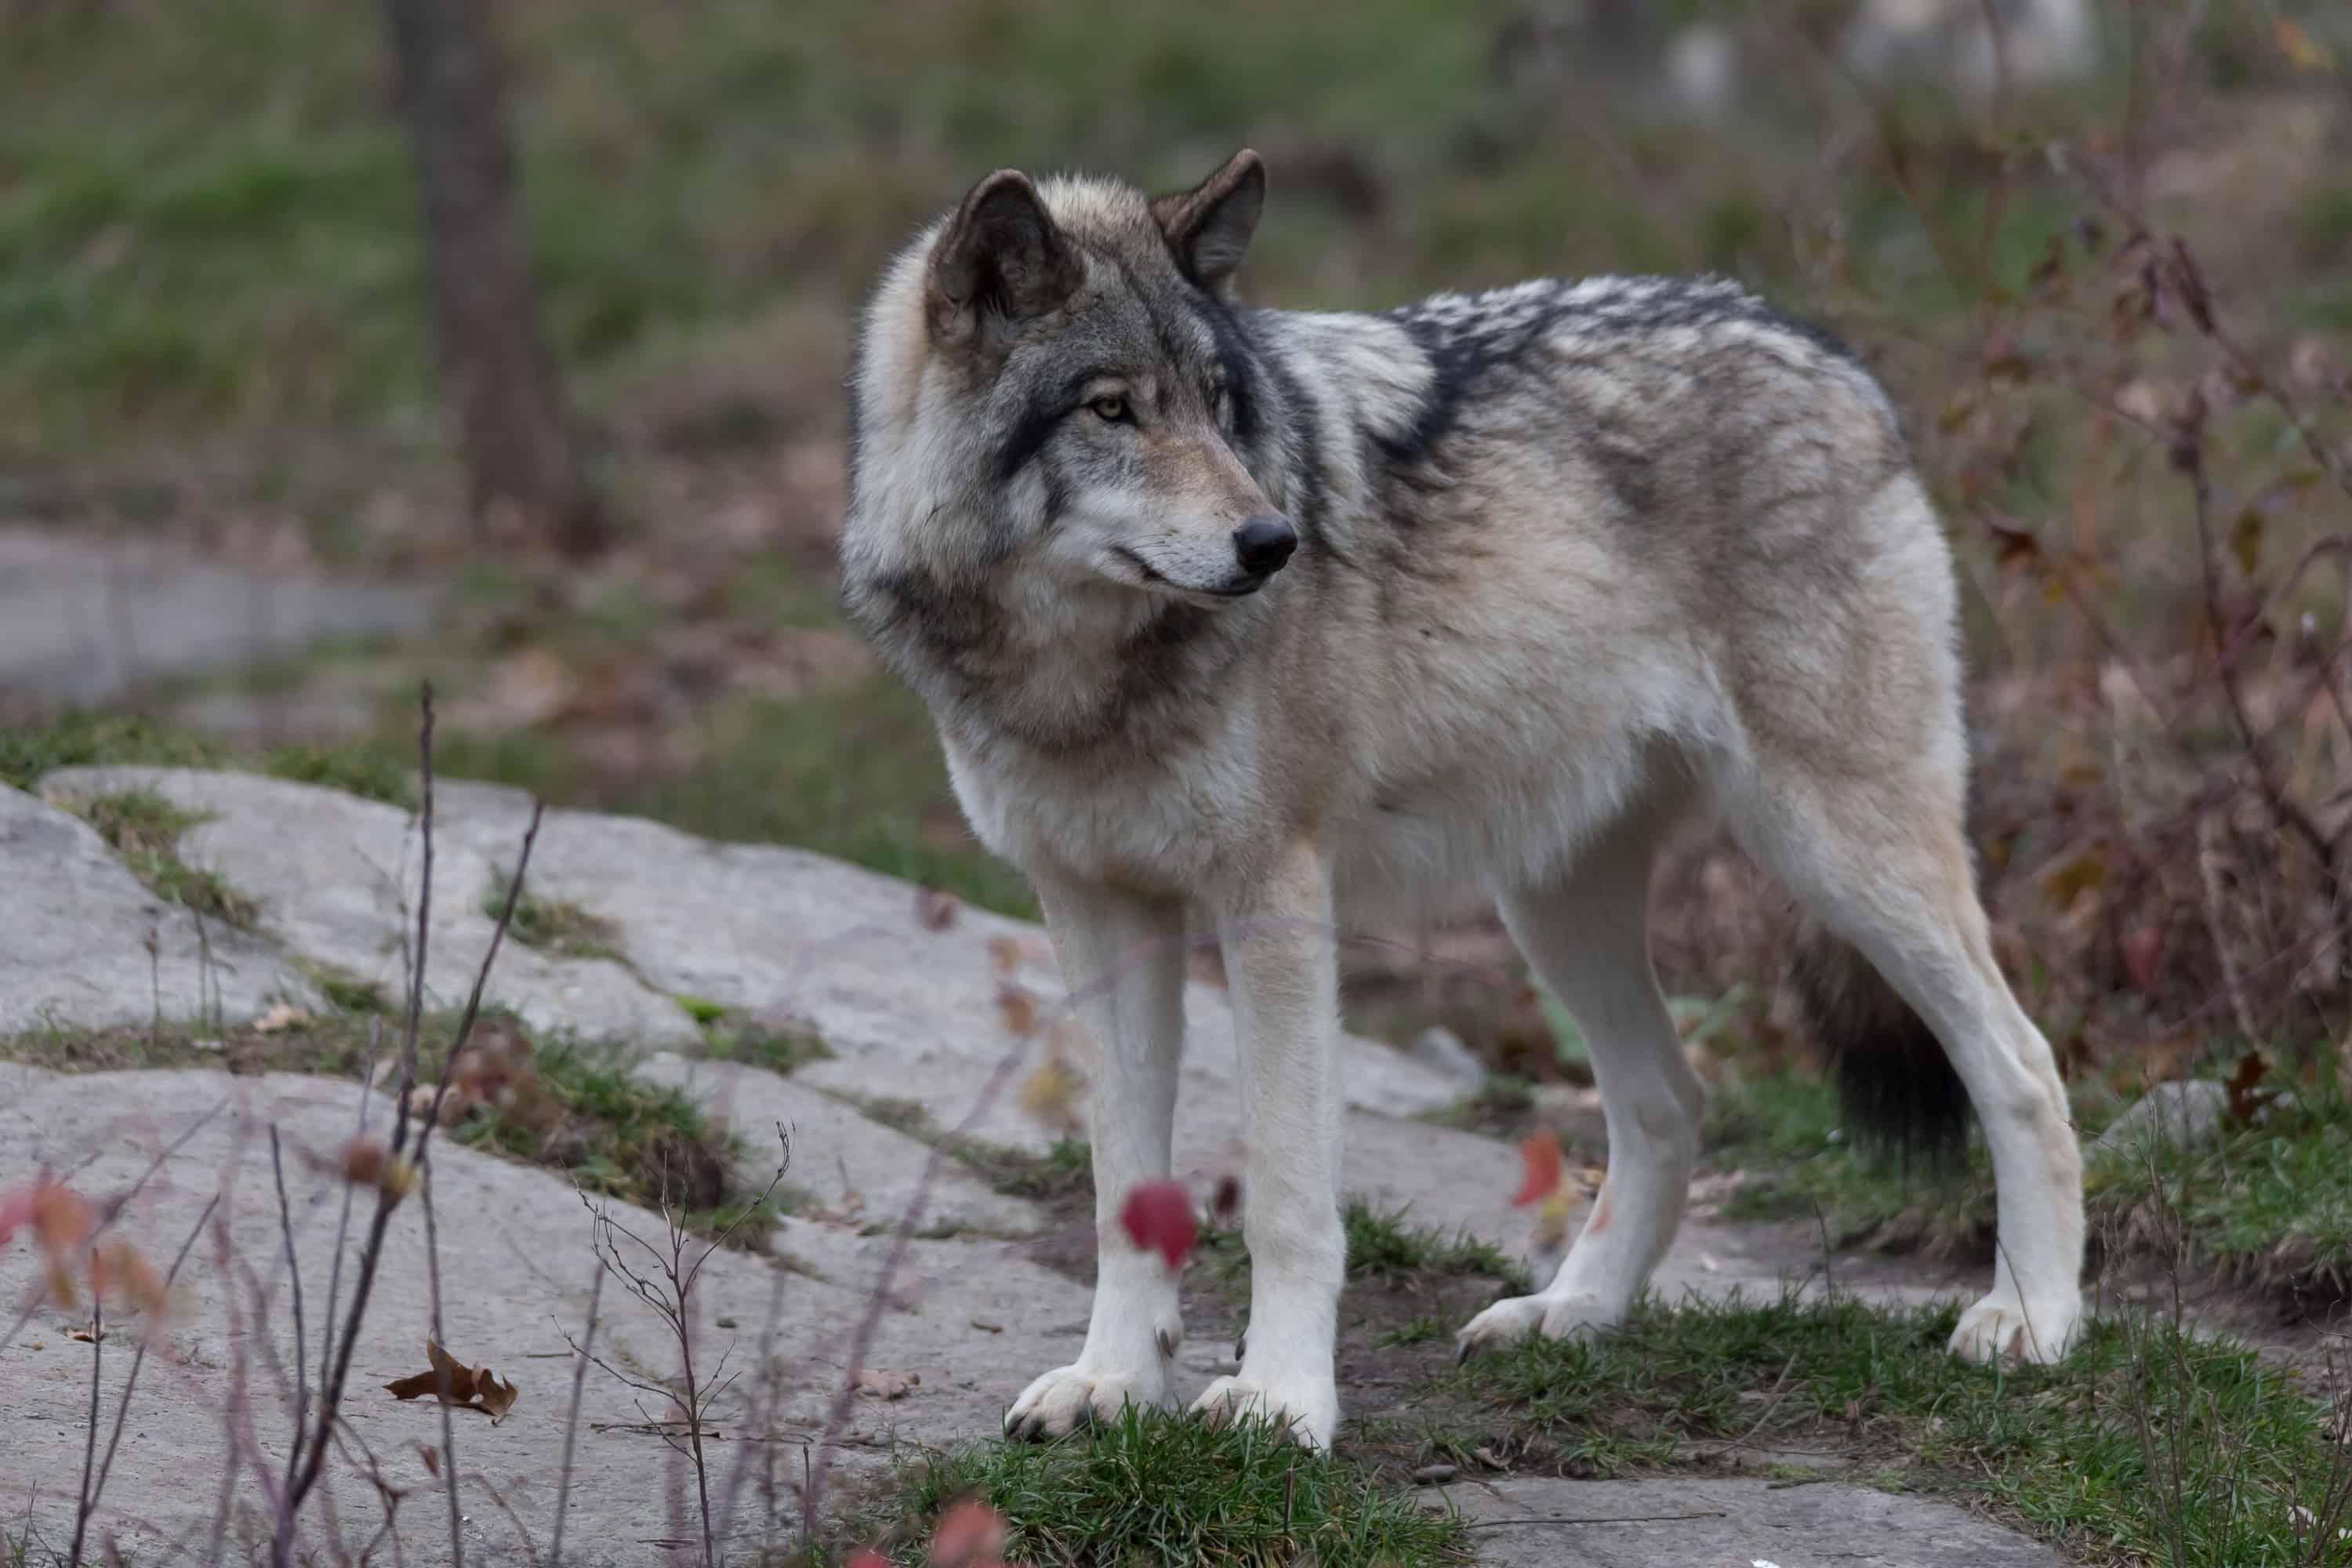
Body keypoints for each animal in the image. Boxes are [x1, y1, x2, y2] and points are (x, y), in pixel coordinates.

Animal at [837, 149, 2086, 1450]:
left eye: (1222, 404)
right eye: (1112, 408)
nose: (1273, 541)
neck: (1081, 677)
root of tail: (1828, 350)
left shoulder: (1275, 900)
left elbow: (1288, 1196)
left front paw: (1280, 1401)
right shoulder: (1093, 909)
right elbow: (1123, 1194)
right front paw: (1116, 1383)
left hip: (1834, 854)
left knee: (2025, 1066)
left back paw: (2031, 1321)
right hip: (1558, 903)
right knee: (1669, 1103)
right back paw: (1572, 1313)